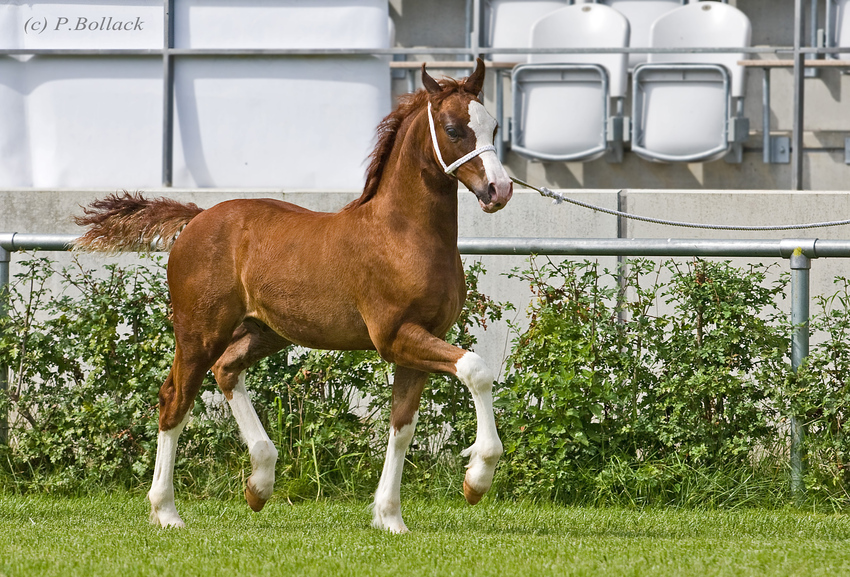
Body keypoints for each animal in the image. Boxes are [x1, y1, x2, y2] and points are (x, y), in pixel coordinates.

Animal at [74, 58, 510, 532]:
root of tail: (196, 218)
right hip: (199, 331)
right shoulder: (395, 336)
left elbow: (402, 427)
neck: (402, 233)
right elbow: (476, 370)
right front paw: (477, 479)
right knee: (175, 399)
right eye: (453, 129)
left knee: (226, 370)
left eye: (493, 125)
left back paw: (259, 483)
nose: (499, 190)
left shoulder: (416, 343)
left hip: (265, 331)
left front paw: (389, 516)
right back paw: (167, 510)